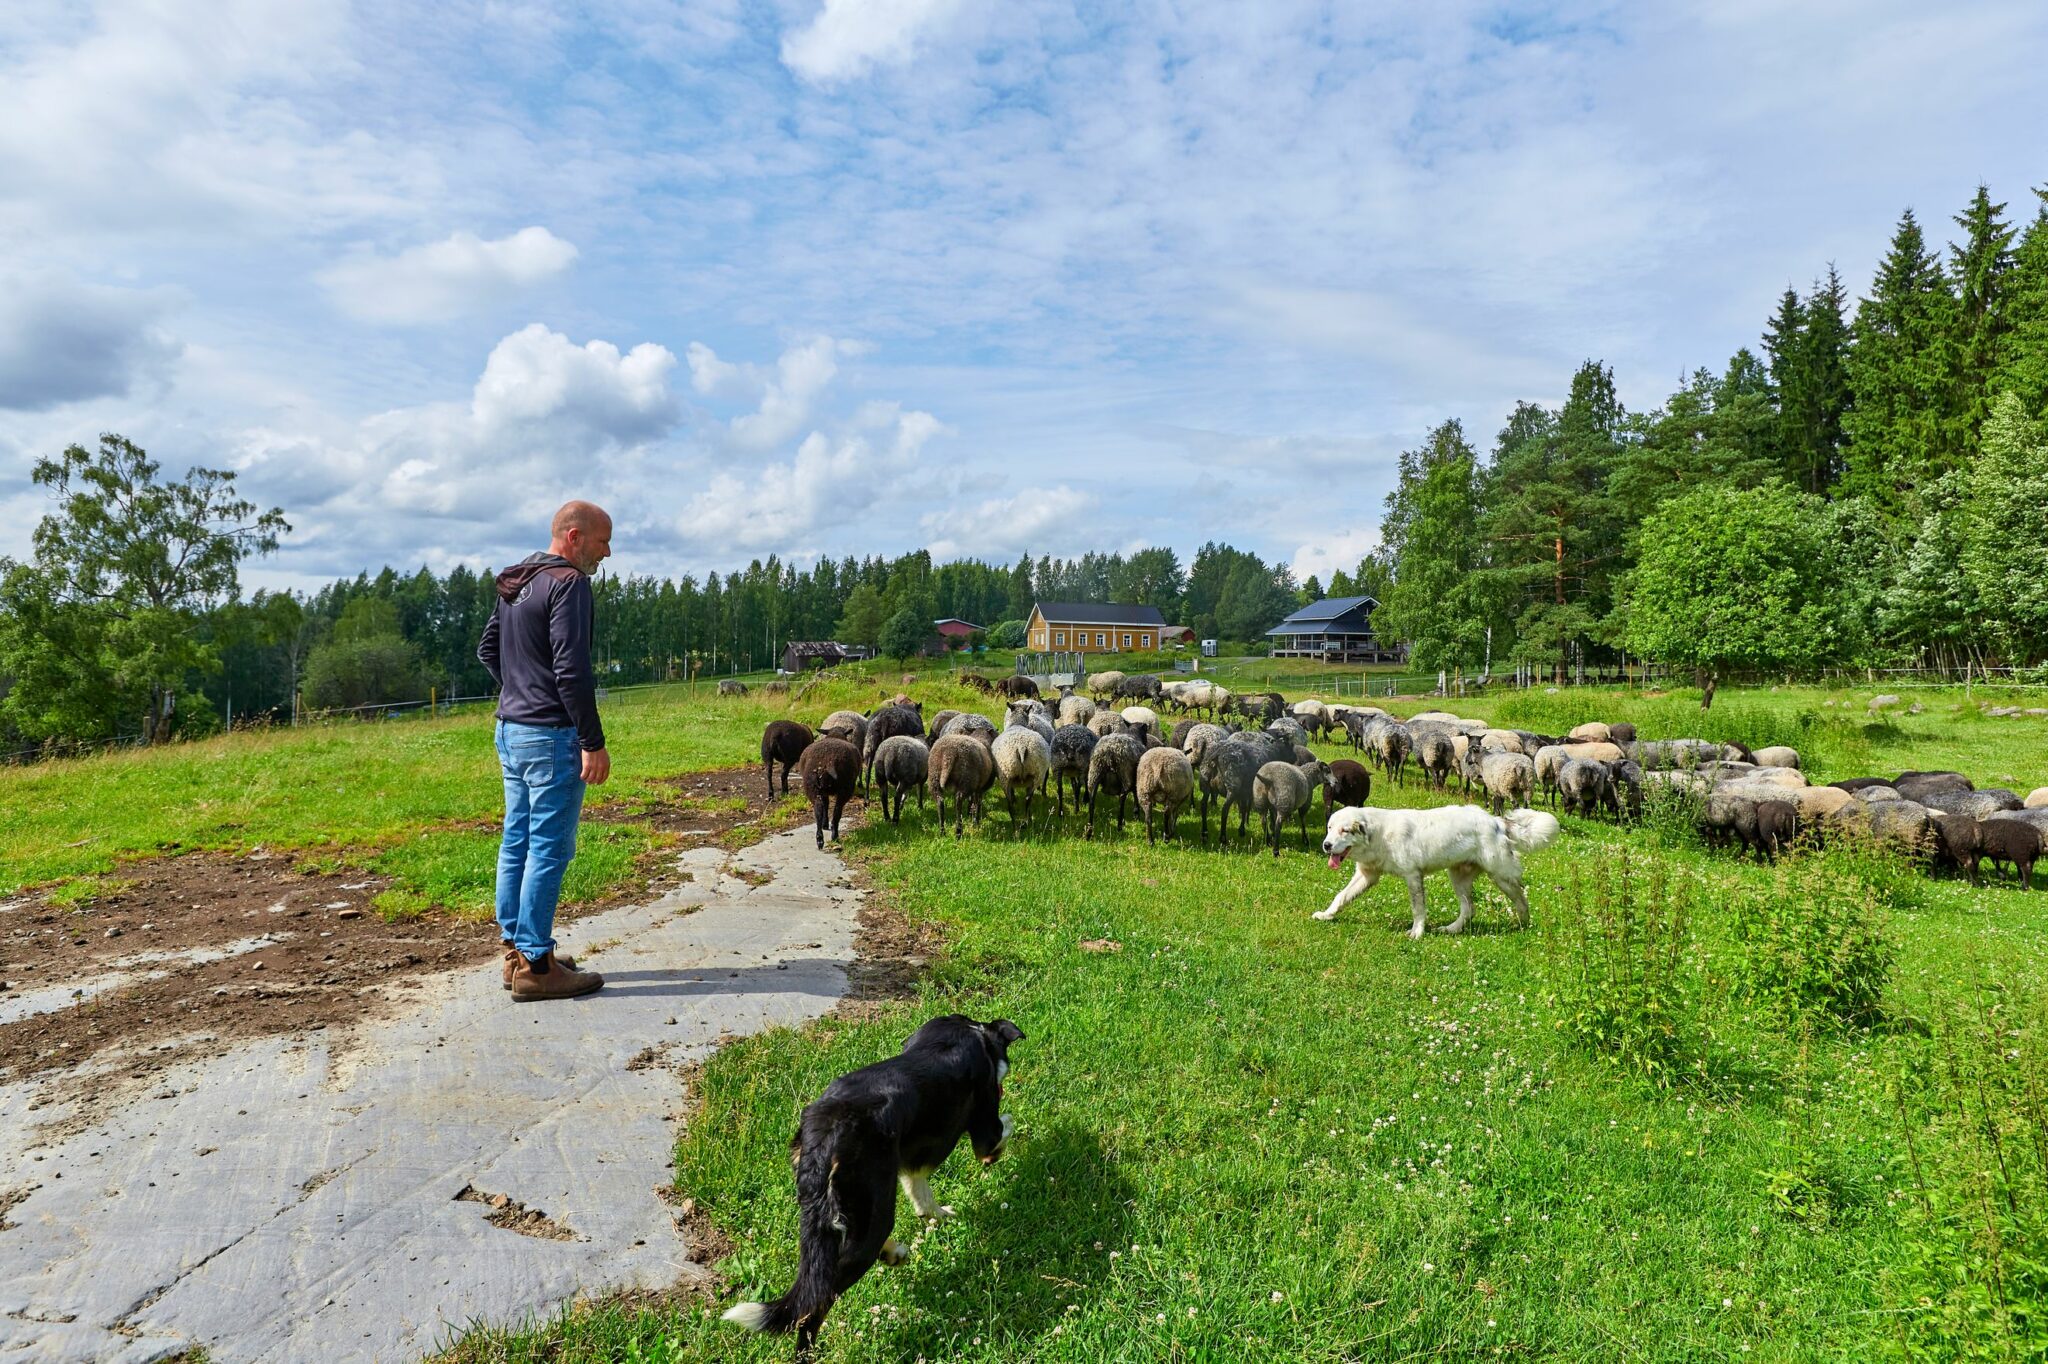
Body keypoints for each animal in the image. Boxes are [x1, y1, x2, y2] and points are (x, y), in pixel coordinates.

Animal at [1318, 802, 1556, 942]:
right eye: (1329, 828)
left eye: (1345, 831)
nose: (1327, 845)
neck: (1378, 835)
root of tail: (1495, 821)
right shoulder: (1366, 875)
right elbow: (1341, 896)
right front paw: (1327, 914)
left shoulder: (1413, 875)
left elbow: (1418, 909)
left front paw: (1417, 933)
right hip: (1458, 878)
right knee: (1469, 909)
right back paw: (1452, 929)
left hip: (1500, 875)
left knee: (1521, 898)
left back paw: (1523, 925)